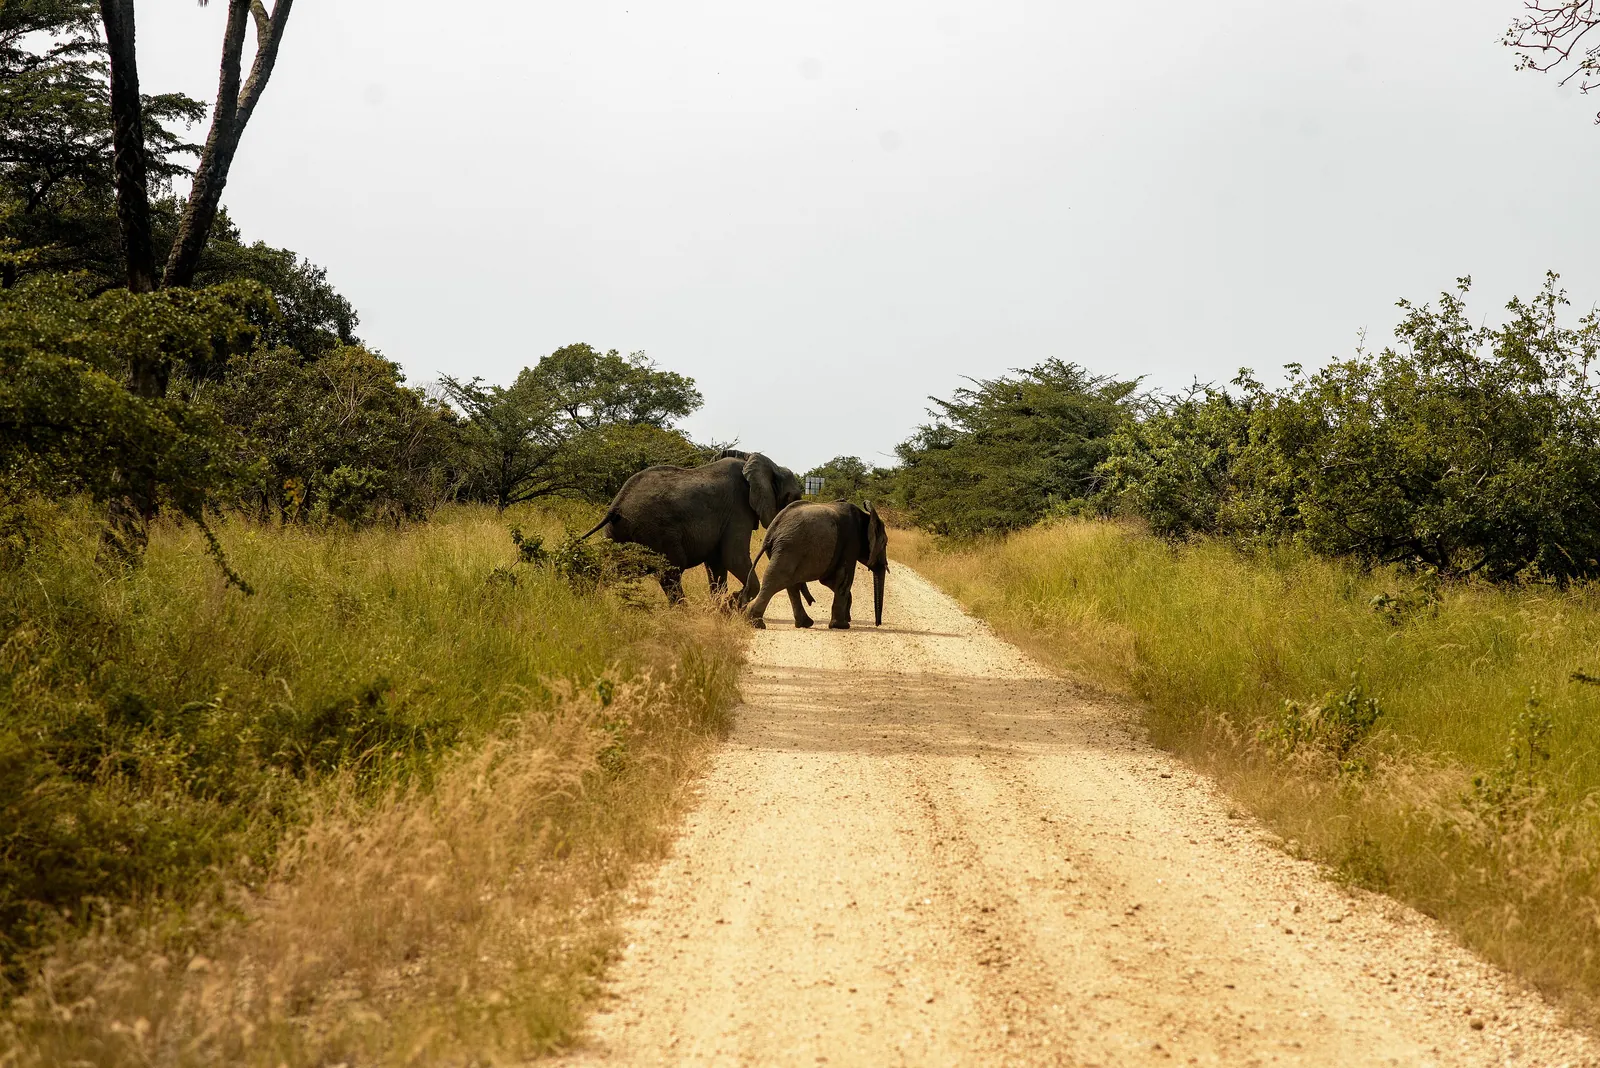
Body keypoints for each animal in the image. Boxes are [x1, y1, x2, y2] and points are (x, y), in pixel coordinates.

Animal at [580, 451, 805, 605]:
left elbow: (717, 564)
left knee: (611, 568)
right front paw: (731, 604)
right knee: (671, 571)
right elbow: (733, 558)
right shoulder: (737, 509)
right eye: (792, 497)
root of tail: (616, 505)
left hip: (619, 532)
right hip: (656, 531)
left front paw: (721, 607)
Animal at [744, 500, 889, 629]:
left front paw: (845, 619)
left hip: (784, 550)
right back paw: (756, 624)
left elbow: (829, 581)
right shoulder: (851, 542)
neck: (866, 516)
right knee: (776, 581)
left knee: (788, 583)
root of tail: (771, 532)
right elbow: (843, 579)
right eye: (885, 543)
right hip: (790, 548)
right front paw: (841, 626)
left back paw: (803, 624)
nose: (878, 624)